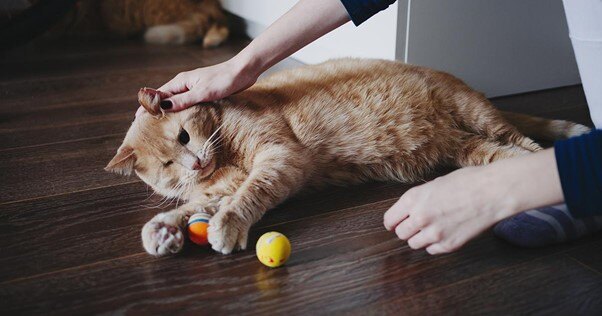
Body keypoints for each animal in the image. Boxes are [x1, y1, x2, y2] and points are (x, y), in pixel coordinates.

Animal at [105, 58, 588, 256]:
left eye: (184, 136)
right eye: (167, 167)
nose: (194, 165)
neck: (221, 159)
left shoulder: (279, 157)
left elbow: (247, 196)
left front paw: (226, 225)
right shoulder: (218, 187)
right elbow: (193, 206)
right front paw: (163, 230)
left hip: (477, 114)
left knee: (530, 147)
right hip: (472, 151)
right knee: (508, 157)